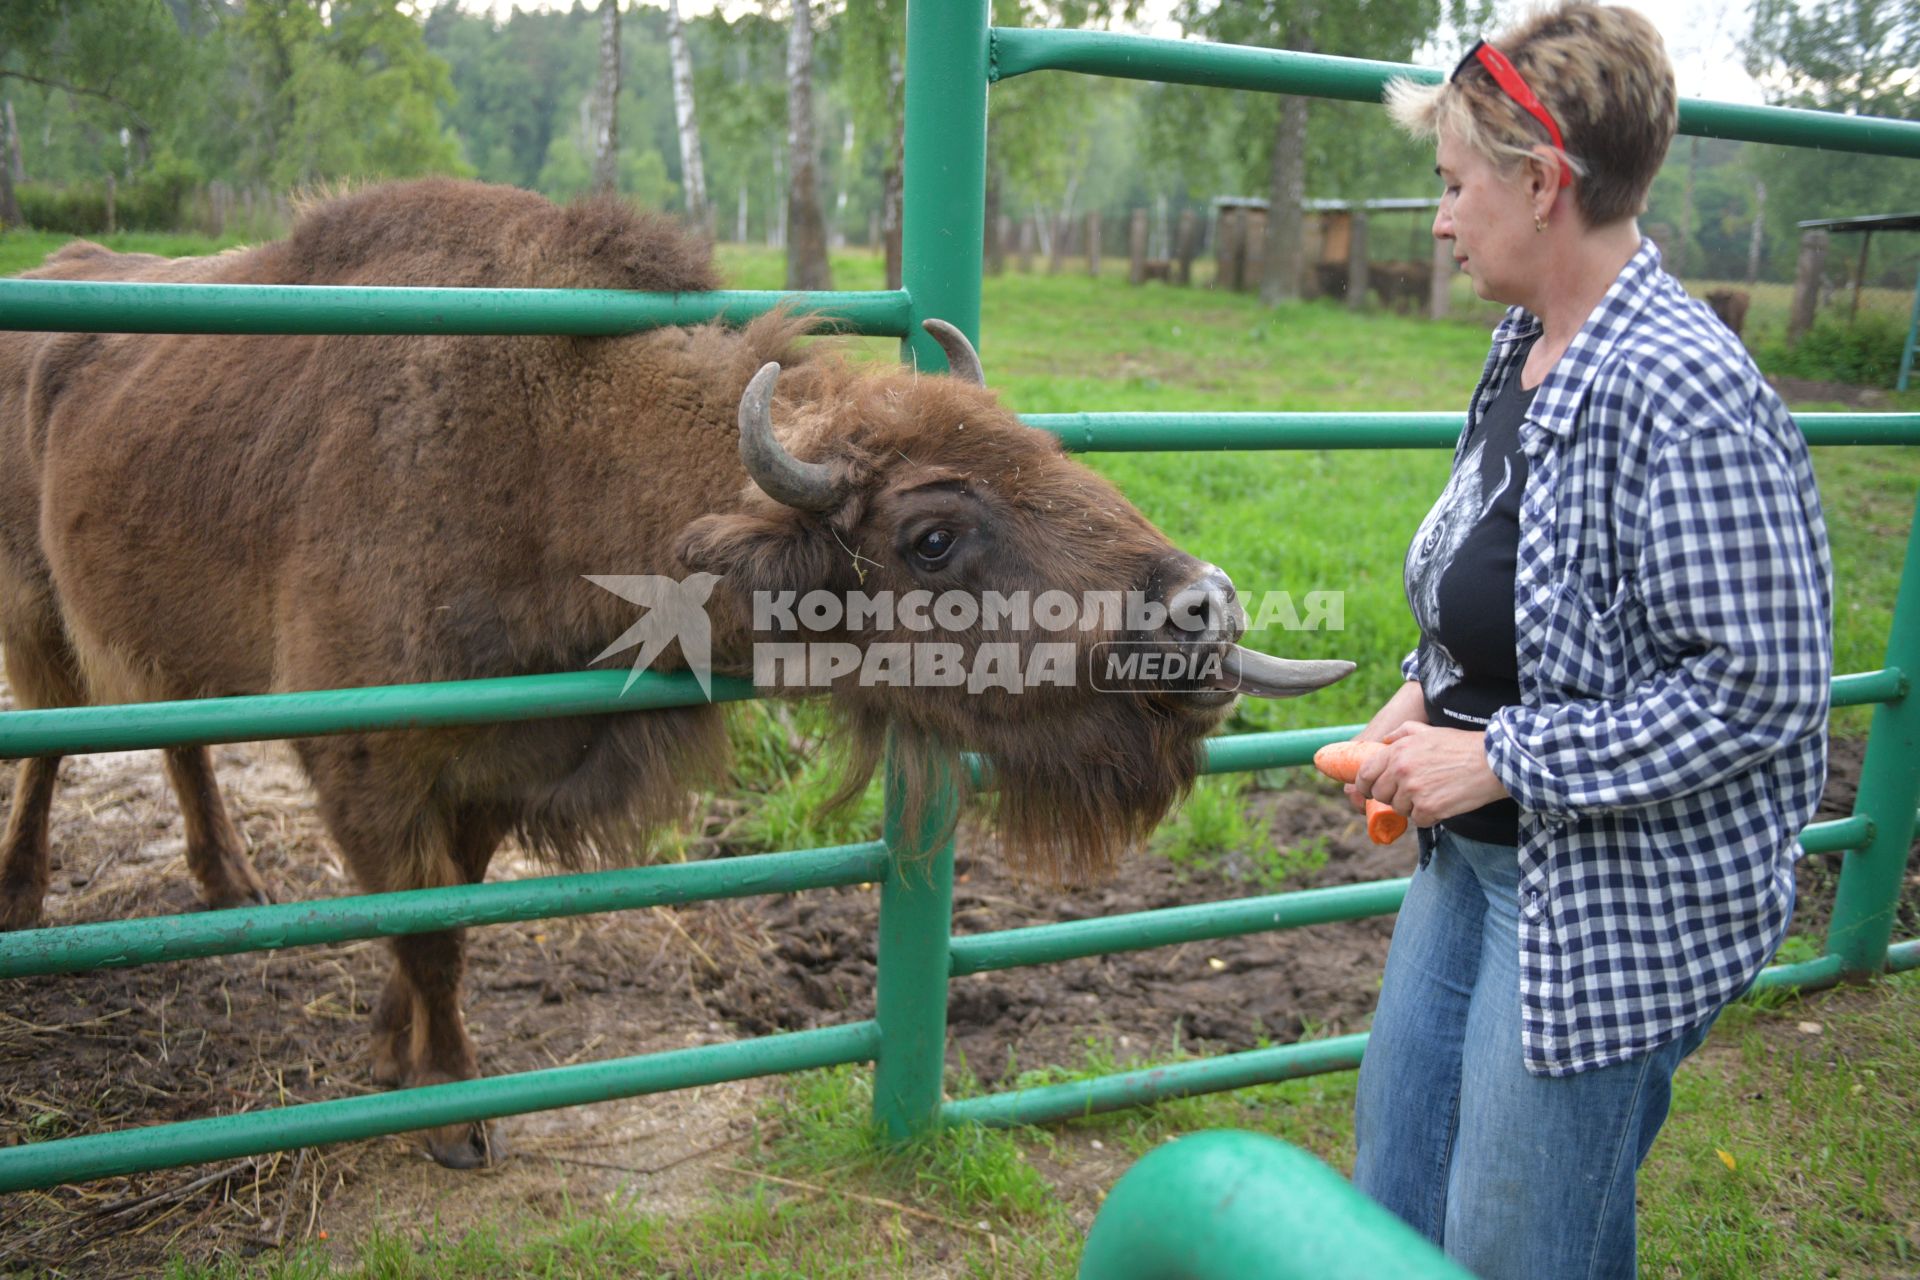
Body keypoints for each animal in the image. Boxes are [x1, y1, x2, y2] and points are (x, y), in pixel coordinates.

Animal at [0, 180, 1351, 1174]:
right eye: (930, 532)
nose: (1204, 609)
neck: (549, 452)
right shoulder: (372, 767)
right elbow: (430, 933)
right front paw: (453, 1118)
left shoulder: (494, 774)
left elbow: (442, 923)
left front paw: (393, 1053)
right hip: (41, 621)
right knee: (59, 740)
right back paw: (29, 892)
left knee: (174, 735)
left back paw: (230, 881)